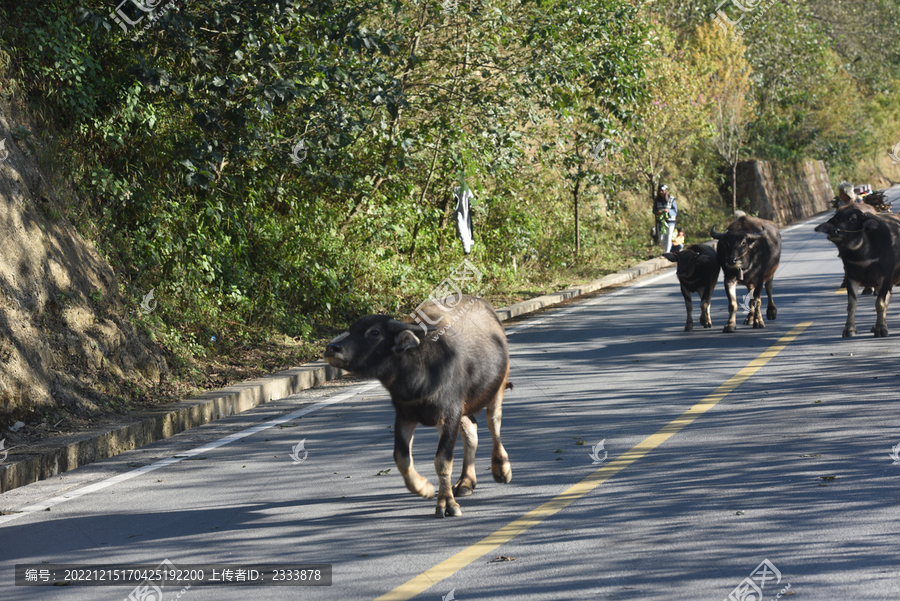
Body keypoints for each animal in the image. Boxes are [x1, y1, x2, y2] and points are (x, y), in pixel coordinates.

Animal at [322, 296, 512, 516]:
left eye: (375, 332)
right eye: (351, 330)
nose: (332, 348)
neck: (419, 371)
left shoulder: (450, 414)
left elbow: (442, 460)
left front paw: (446, 503)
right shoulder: (405, 415)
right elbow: (402, 458)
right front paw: (425, 488)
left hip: (498, 386)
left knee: (493, 422)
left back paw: (501, 468)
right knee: (471, 432)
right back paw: (466, 482)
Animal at [812, 206, 900, 338]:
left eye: (853, 219)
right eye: (835, 220)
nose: (834, 231)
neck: (864, 258)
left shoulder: (885, 278)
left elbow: (880, 303)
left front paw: (881, 329)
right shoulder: (851, 278)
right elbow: (851, 305)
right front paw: (849, 329)